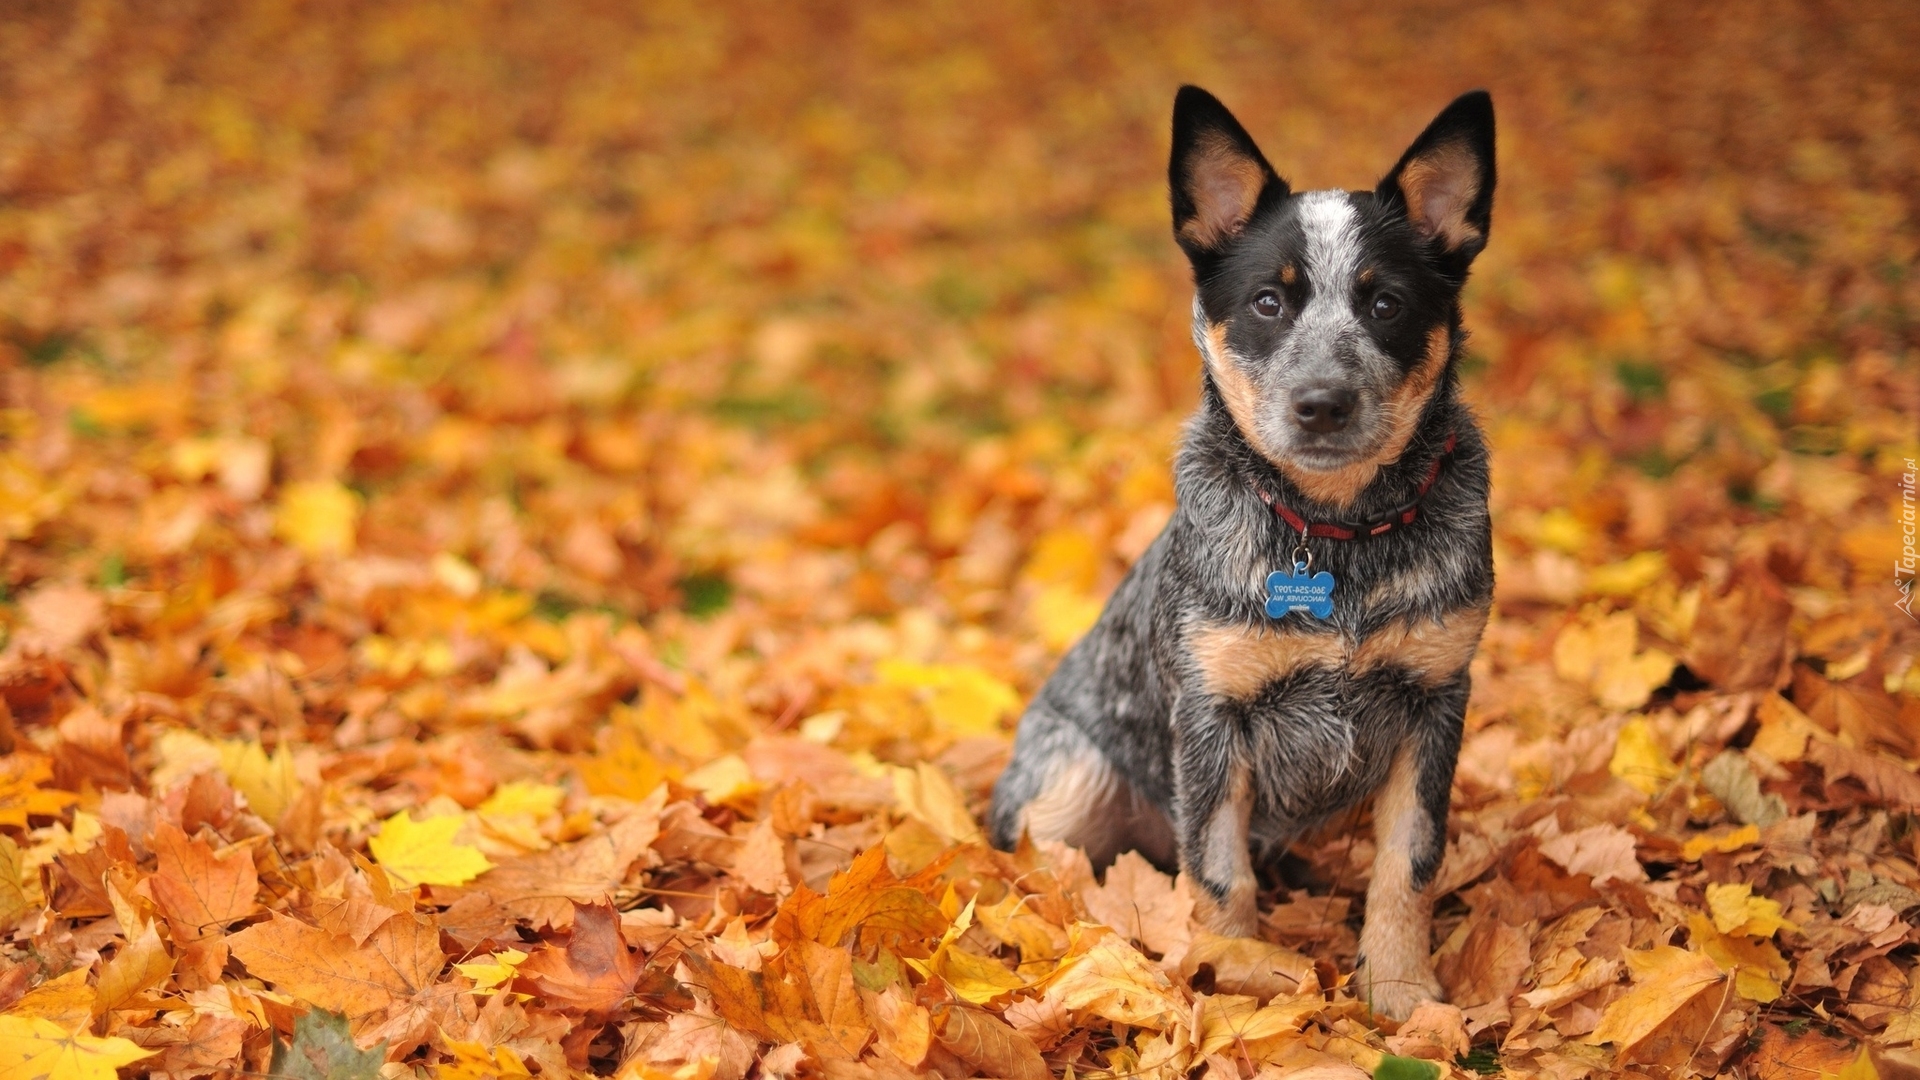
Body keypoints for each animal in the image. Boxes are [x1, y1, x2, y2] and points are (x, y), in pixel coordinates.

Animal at [990, 85, 1497, 1014]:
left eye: (1385, 303)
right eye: (1269, 301)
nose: (1323, 402)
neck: (1335, 536)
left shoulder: (1437, 700)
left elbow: (1409, 864)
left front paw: (1404, 993)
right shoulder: (1210, 716)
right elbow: (1218, 875)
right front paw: (1238, 984)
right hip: (1065, 782)